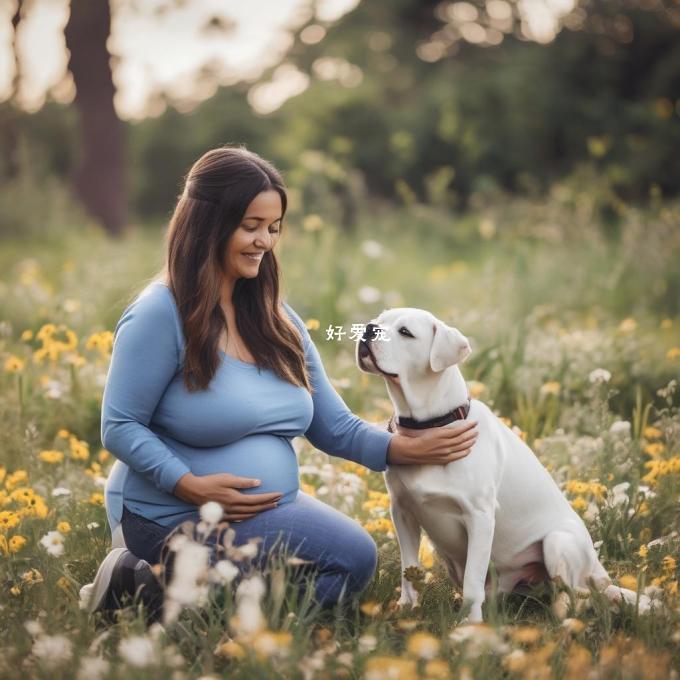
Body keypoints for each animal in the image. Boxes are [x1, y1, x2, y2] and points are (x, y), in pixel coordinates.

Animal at [356, 308, 648, 620]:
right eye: (379, 320)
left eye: (405, 332)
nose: (369, 329)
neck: (430, 424)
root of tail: (599, 572)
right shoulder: (402, 510)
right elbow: (408, 570)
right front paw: (405, 610)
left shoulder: (480, 516)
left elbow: (472, 583)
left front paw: (469, 627)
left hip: (558, 541)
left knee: (575, 597)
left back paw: (562, 620)